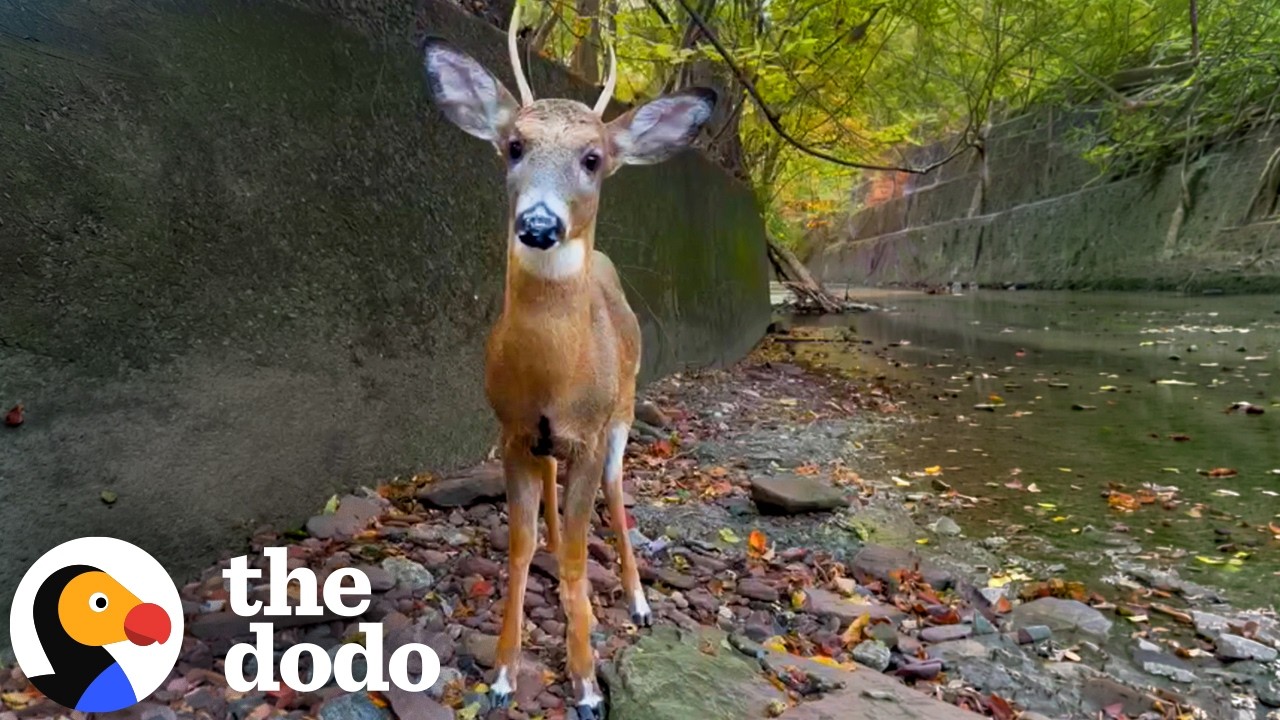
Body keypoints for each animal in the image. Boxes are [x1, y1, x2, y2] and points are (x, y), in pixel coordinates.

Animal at [420, 7, 717, 718]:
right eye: (513, 146)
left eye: (593, 158)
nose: (539, 224)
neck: (556, 378)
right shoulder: (511, 430)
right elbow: (521, 544)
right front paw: (502, 675)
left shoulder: (591, 430)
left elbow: (585, 549)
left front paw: (584, 683)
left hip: (625, 410)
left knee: (616, 489)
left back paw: (637, 600)